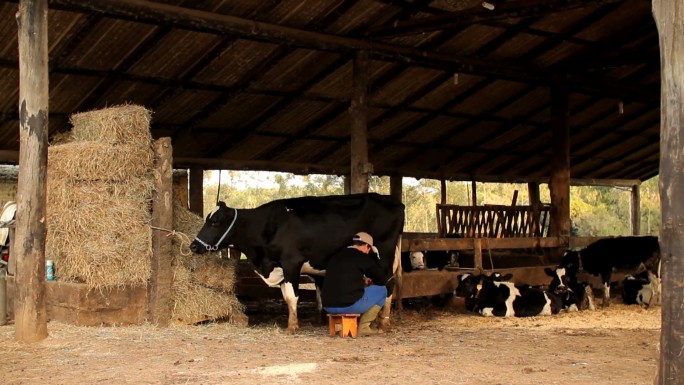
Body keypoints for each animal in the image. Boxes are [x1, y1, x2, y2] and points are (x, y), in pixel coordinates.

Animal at [187, 194, 404, 332]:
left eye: (214, 222)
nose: (194, 246)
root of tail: (395, 202)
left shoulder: (291, 262)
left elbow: (292, 297)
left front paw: (292, 326)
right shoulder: (280, 268)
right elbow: (286, 296)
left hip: (384, 256)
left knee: (388, 285)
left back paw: (383, 323)